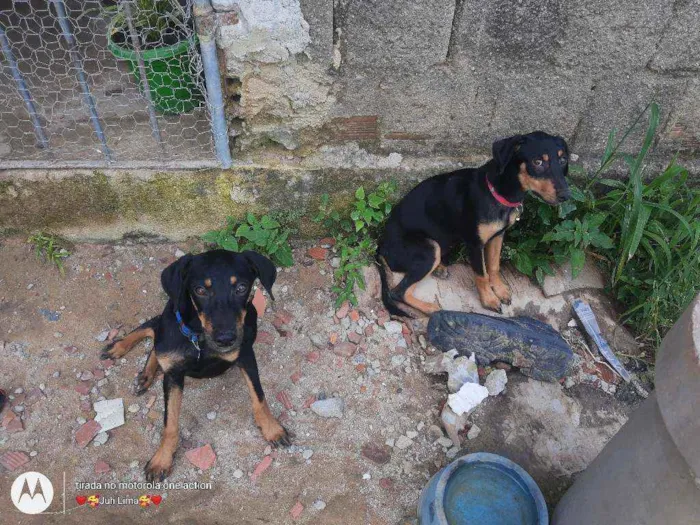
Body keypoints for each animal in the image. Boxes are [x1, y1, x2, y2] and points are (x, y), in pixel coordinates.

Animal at [101, 249, 290, 478]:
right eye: (200, 290)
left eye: (241, 287)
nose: (225, 339)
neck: (199, 340)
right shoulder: (173, 375)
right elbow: (170, 423)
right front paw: (162, 459)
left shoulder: (246, 355)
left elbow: (259, 398)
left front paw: (272, 429)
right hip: (168, 321)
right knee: (153, 328)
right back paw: (122, 349)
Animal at [378, 133, 568, 318]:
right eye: (538, 162)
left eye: (563, 160)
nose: (566, 195)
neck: (497, 192)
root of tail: (381, 247)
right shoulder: (475, 244)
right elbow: (481, 274)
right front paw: (489, 300)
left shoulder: (498, 235)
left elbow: (494, 266)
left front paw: (499, 290)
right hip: (430, 249)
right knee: (398, 292)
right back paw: (431, 308)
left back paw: (439, 269)